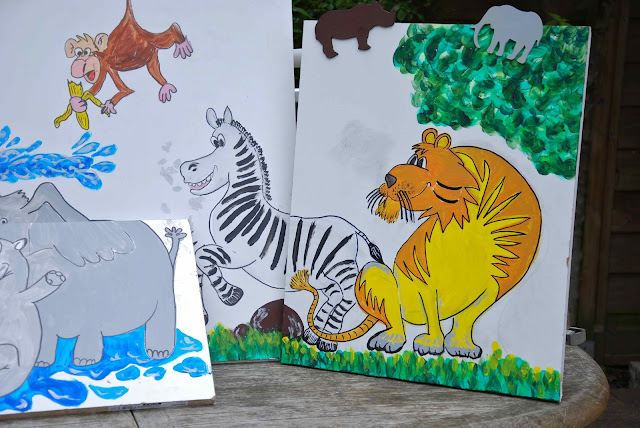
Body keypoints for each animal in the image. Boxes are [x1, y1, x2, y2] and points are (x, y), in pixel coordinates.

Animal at [0, 182, 186, 374]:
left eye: (4, 221)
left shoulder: (92, 306)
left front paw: (84, 361)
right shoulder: (45, 318)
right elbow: (47, 337)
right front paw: (41, 363)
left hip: (163, 287)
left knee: (163, 313)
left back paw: (159, 353)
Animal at [180, 106, 383, 352]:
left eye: (218, 142)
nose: (185, 167)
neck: (244, 206)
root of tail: (355, 231)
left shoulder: (240, 254)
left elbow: (203, 257)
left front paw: (231, 295)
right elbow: (200, 263)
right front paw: (203, 312)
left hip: (340, 267)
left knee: (348, 297)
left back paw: (327, 341)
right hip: (322, 275)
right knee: (334, 295)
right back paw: (315, 335)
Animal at [291, 128, 541, 359]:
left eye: (421, 162)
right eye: (412, 159)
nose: (388, 177)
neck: (471, 228)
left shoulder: (494, 287)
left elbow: (467, 317)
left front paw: (461, 346)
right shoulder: (423, 279)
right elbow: (432, 313)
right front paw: (431, 344)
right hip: (373, 271)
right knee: (393, 320)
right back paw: (388, 340)